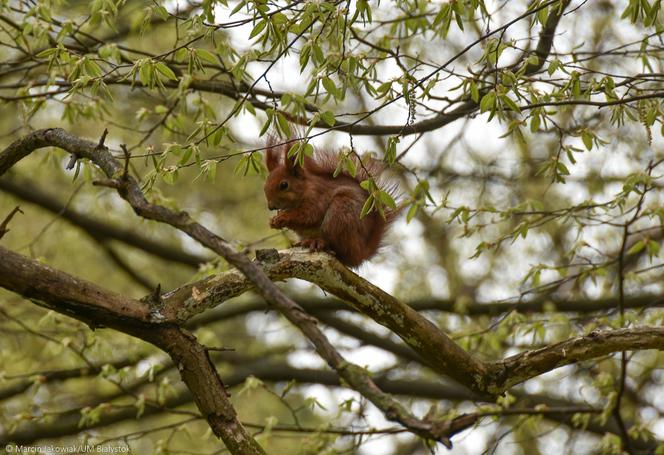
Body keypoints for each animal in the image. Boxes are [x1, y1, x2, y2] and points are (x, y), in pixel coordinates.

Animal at [264, 137, 400, 268]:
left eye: (284, 185)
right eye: (265, 186)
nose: (270, 207)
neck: (305, 188)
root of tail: (360, 254)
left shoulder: (317, 197)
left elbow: (308, 215)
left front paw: (283, 217)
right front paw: (273, 221)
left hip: (340, 214)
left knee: (340, 250)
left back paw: (319, 242)